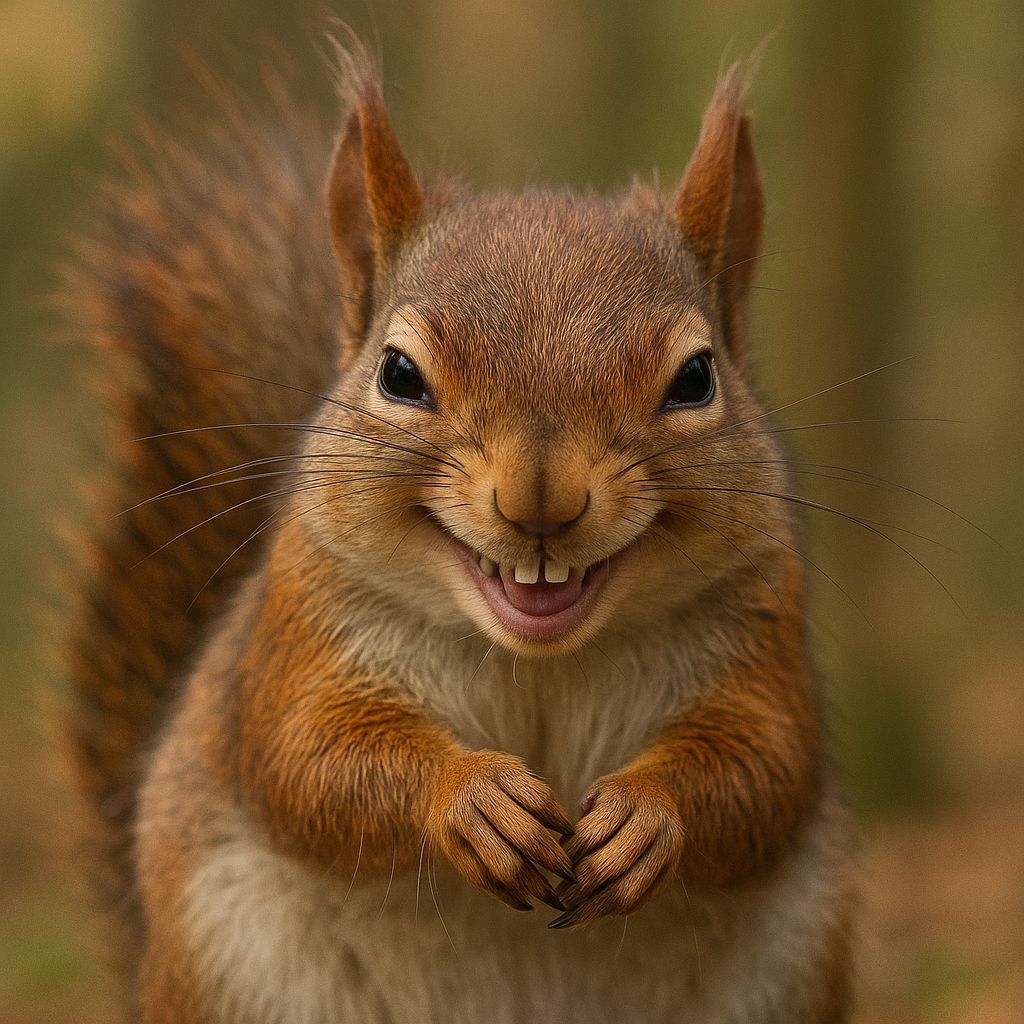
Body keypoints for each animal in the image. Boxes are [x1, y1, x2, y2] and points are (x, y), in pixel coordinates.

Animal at [61, 44, 858, 1024]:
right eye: (399, 373)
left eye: (696, 378)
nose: (540, 500)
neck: (540, 661)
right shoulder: (298, 636)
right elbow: (307, 760)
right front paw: (470, 798)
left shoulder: (761, 638)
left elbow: (765, 769)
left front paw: (644, 813)